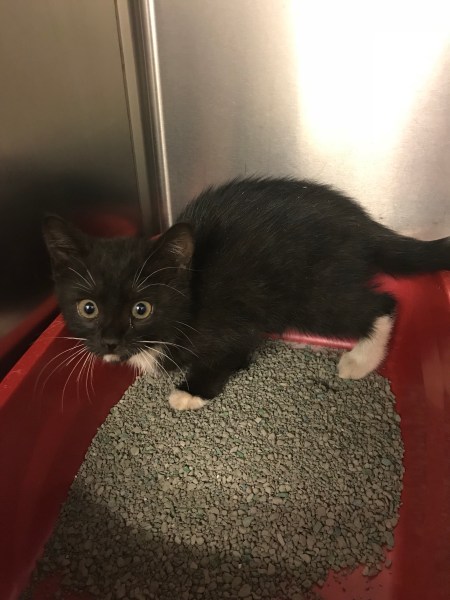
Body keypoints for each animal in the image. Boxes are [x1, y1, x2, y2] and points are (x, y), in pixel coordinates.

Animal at [43, 177, 450, 410]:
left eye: (141, 309)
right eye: (89, 308)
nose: (110, 342)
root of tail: (362, 223)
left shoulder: (233, 319)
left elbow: (228, 353)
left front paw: (192, 391)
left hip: (312, 291)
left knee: (380, 304)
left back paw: (360, 360)